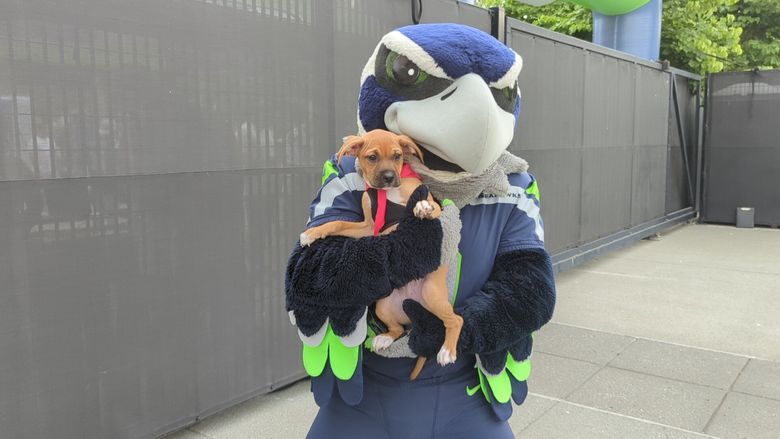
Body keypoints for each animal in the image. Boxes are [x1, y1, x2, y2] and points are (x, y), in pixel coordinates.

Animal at [300, 129, 464, 380]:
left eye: (397, 156)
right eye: (372, 157)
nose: (388, 176)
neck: (388, 194)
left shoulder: (434, 205)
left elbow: (427, 204)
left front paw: (421, 208)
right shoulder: (366, 226)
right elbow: (337, 223)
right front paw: (313, 233)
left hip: (432, 295)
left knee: (456, 320)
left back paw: (447, 351)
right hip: (383, 306)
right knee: (398, 328)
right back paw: (384, 338)